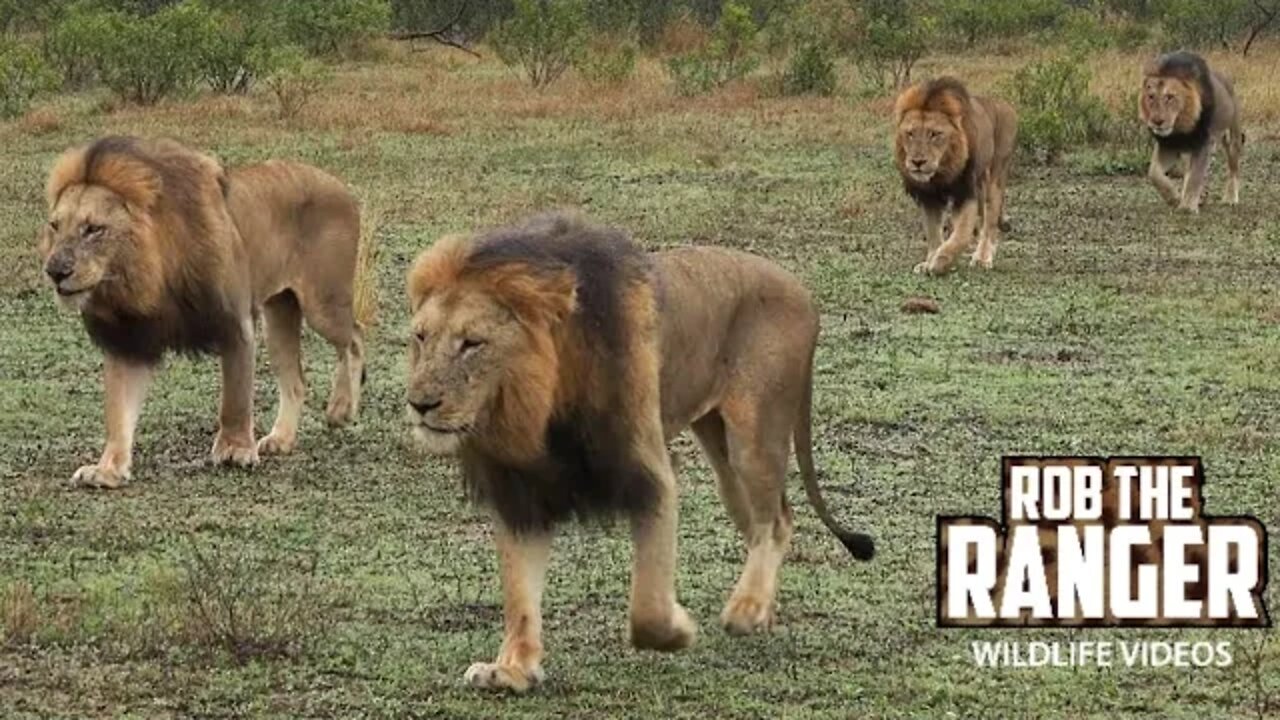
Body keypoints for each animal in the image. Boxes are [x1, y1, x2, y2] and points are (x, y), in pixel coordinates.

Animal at [38, 135, 366, 486]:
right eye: (55, 226)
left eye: (93, 229)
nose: (55, 271)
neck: (148, 278)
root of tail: (338, 184)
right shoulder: (128, 340)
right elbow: (118, 412)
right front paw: (107, 469)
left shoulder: (234, 322)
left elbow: (234, 399)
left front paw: (235, 450)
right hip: (279, 315)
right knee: (296, 380)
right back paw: (282, 439)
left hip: (324, 303)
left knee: (355, 337)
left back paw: (342, 408)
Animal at [404, 211, 875, 691]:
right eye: (420, 338)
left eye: (472, 343)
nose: (419, 404)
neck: (536, 407)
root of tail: (802, 290)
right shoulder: (521, 489)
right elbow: (519, 594)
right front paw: (513, 669)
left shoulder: (650, 473)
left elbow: (647, 607)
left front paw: (679, 628)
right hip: (724, 462)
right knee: (764, 523)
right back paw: (761, 608)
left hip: (753, 440)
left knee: (777, 522)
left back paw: (745, 612)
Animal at [896, 76, 1013, 274]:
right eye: (910, 133)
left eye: (934, 134)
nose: (917, 162)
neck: (941, 173)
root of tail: (1004, 104)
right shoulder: (928, 197)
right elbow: (933, 232)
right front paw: (929, 260)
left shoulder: (965, 192)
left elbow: (962, 234)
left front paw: (941, 261)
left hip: (995, 177)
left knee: (990, 222)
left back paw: (982, 258)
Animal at [1141, 51, 1239, 210]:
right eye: (1151, 96)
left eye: (1170, 97)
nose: (1157, 121)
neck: (1181, 126)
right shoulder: (1168, 145)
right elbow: (1154, 173)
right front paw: (1173, 198)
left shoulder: (1203, 143)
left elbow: (1195, 176)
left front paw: (1187, 207)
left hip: (1232, 138)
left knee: (1233, 169)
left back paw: (1230, 198)